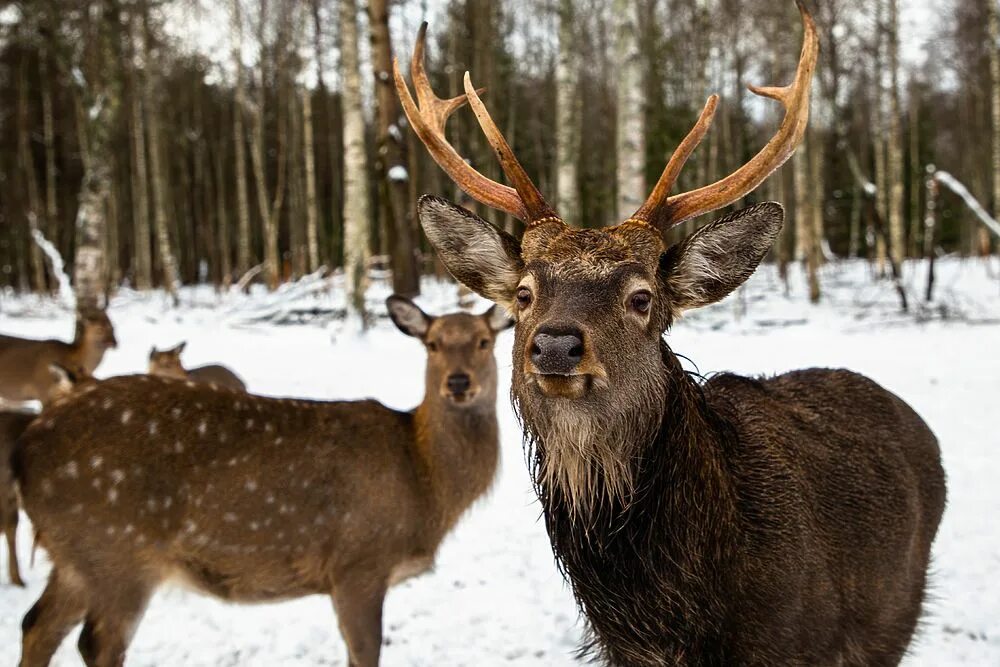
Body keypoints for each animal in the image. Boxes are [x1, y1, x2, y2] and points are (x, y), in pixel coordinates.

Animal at [13, 298, 516, 667]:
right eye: (432, 344)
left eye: (484, 341)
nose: (458, 382)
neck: (423, 482)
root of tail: (23, 452)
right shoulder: (358, 562)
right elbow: (363, 653)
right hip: (118, 550)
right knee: (94, 643)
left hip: (77, 555)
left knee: (35, 625)